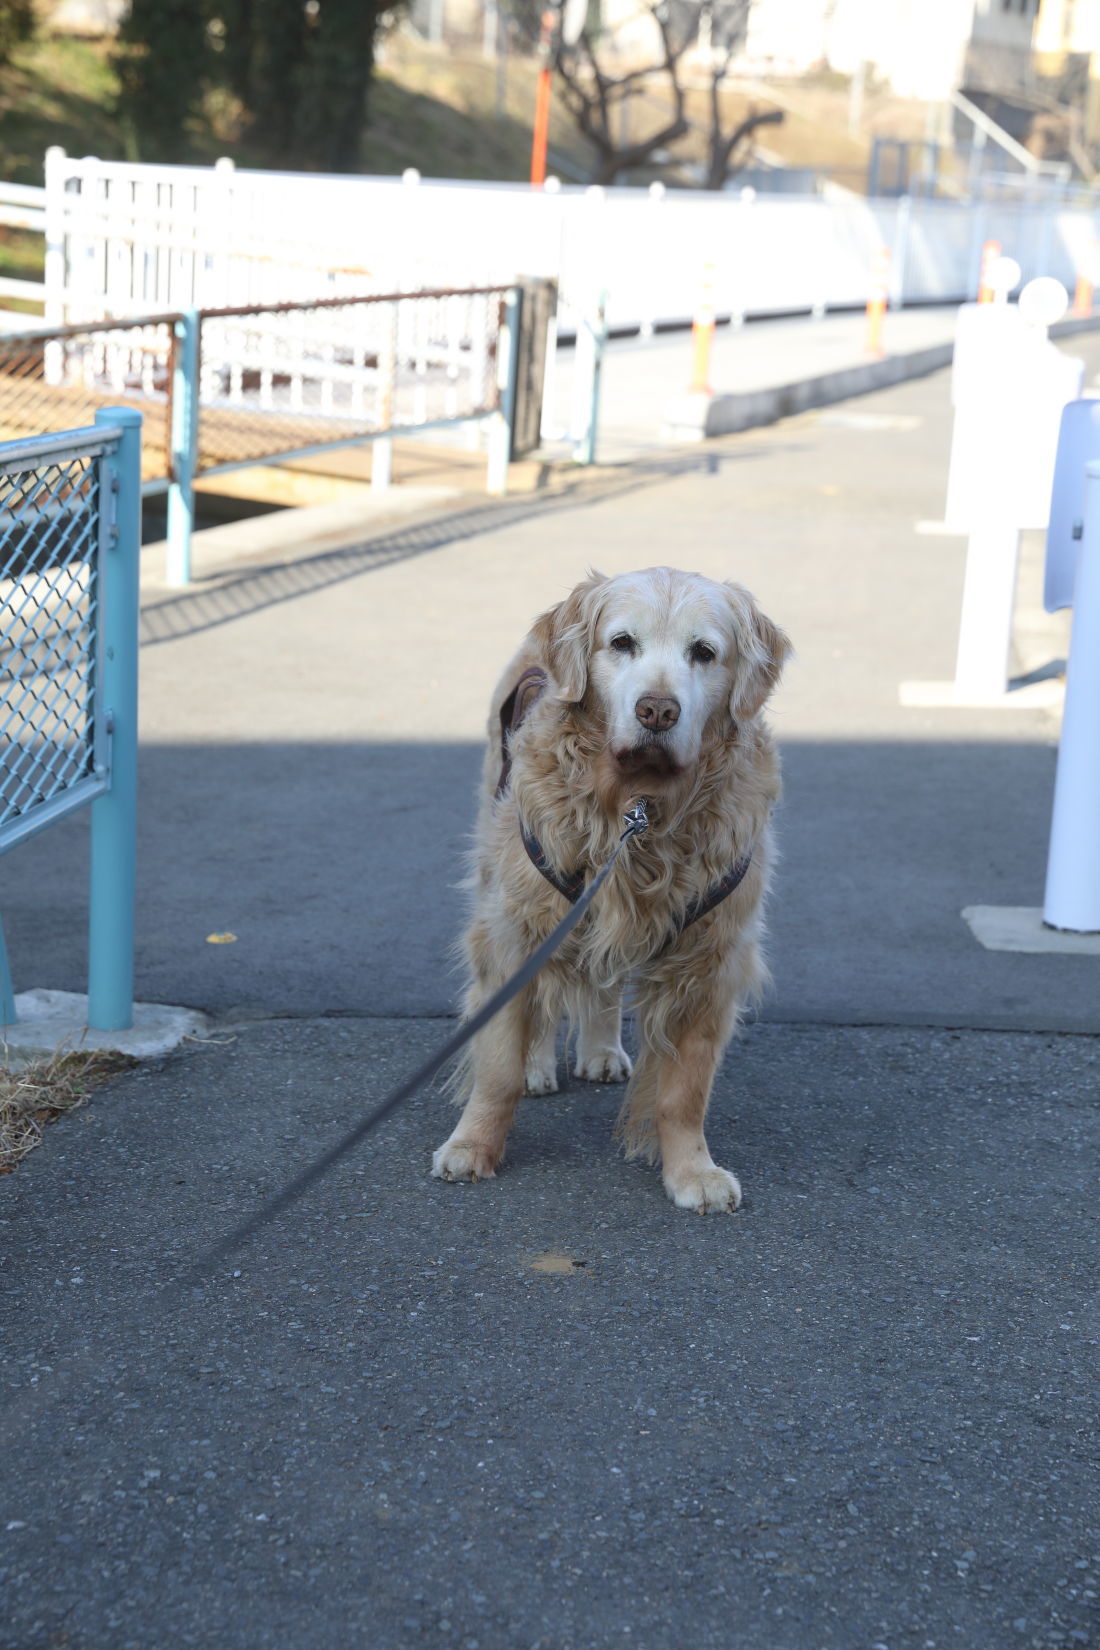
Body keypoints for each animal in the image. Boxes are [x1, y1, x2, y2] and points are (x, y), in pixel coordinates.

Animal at [432, 567, 791, 1214]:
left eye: (704, 653)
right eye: (622, 643)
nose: (657, 710)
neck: (638, 807)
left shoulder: (709, 961)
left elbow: (683, 1093)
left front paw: (692, 1172)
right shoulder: (514, 932)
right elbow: (496, 1065)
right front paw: (473, 1146)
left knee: (601, 984)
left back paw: (600, 1051)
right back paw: (538, 1064)